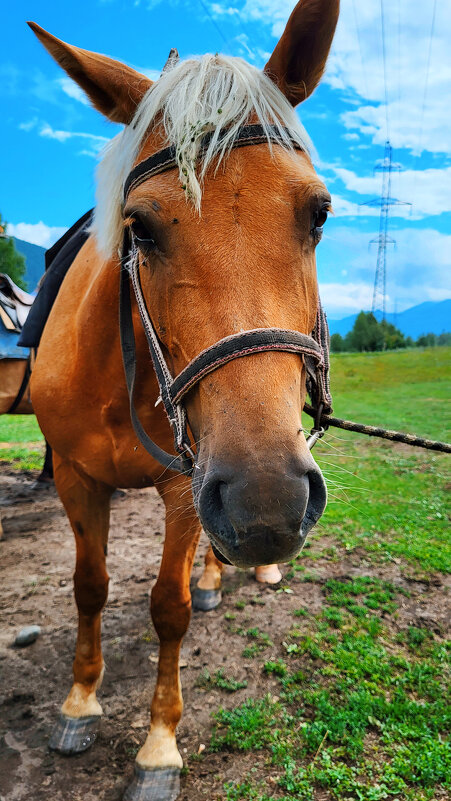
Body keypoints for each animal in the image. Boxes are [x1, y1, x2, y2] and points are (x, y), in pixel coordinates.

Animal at [28, 3, 340, 796]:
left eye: (318, 214)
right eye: (138, 225)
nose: (267, 505)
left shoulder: (184, 486)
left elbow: (167, 609)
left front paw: (158, 746)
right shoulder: (76, 476)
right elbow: (89, 585)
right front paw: (79, 701)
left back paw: (219, 576)